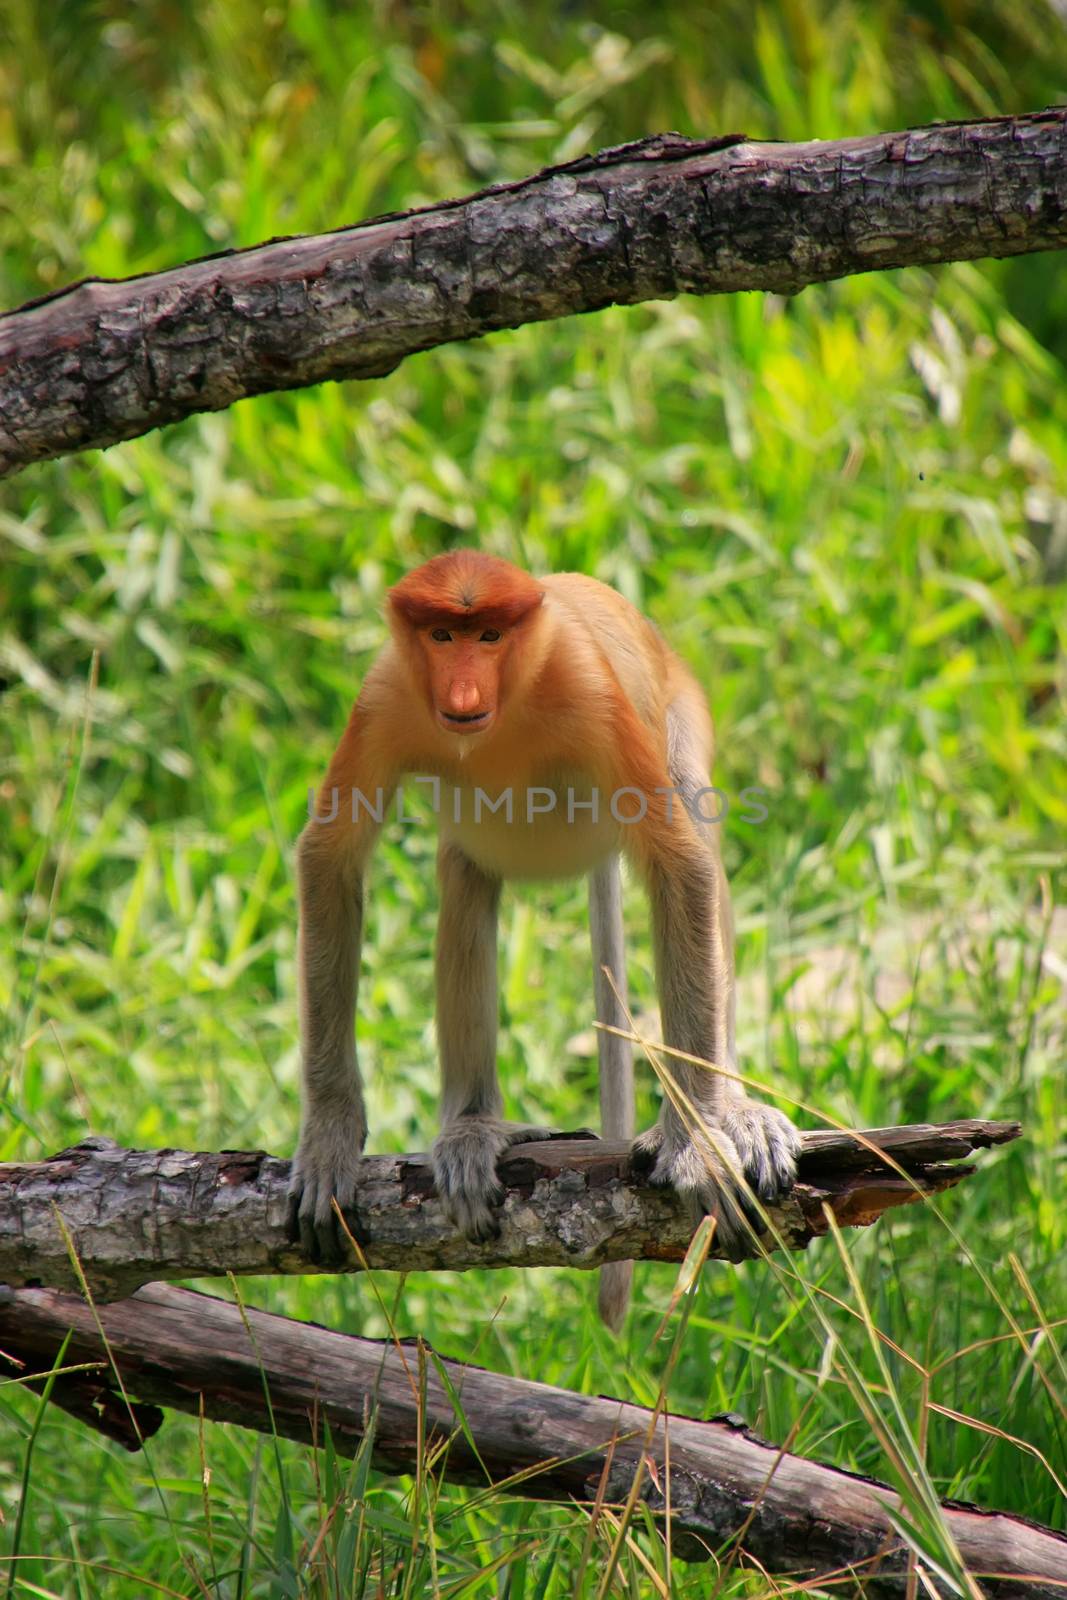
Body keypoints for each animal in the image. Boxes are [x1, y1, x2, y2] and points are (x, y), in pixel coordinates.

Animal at [287, 550, 796, 1324]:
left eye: (490, 635)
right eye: (442, 635)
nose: (463, 689)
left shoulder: (589, 693)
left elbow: (679, 862)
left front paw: (700, 1140)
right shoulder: (385, 698)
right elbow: (330, 860)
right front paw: (329, 1145)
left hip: (677, 711)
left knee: (691, 818)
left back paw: (734, 1112)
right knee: (465, 889)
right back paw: (471, 1129)